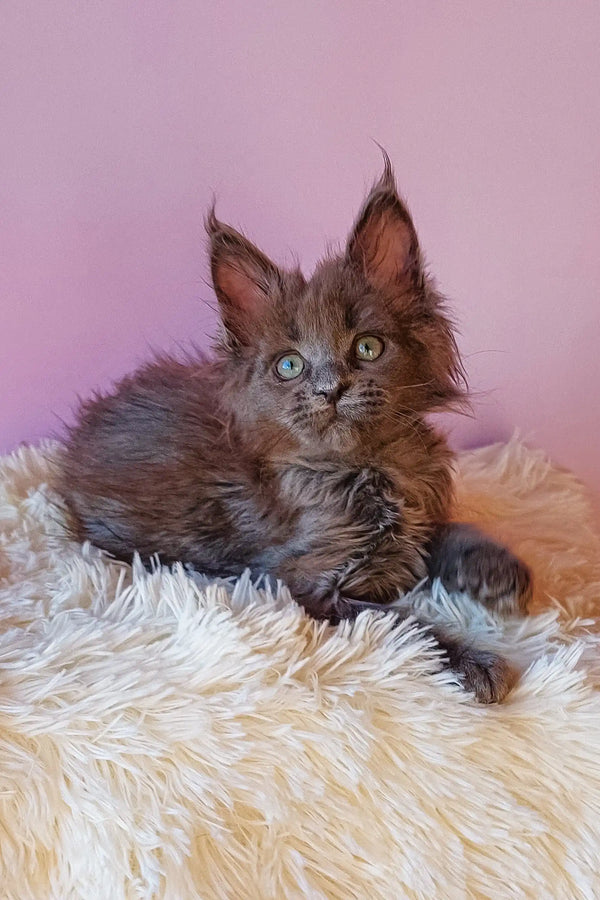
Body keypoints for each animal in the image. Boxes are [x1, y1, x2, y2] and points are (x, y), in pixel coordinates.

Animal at [58, 156, 532, 704]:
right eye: (289, 365)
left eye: (368, 347)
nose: (330, 389)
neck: (374, 469)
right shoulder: (313, 585)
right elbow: (408, 625)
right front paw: (475, 661)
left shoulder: (418, 520)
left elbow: (452, 531)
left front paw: (498, 570)